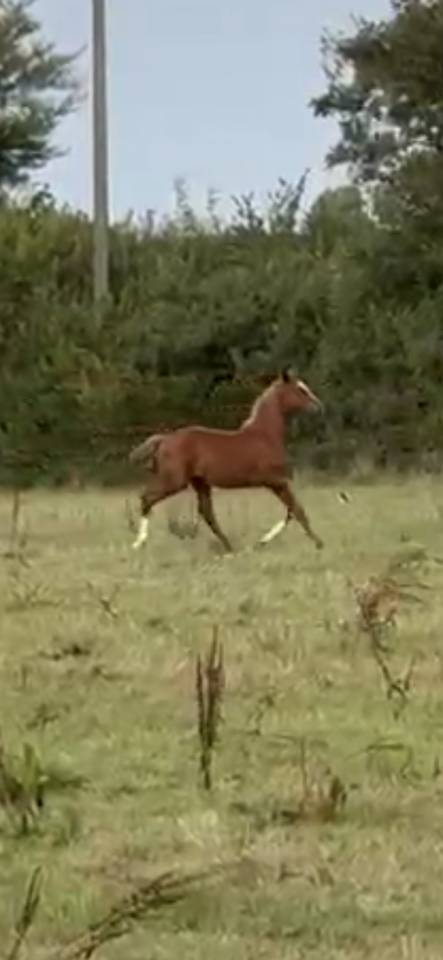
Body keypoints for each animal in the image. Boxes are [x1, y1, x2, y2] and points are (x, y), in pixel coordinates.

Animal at [129, 368, 324, 553]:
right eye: (300, 389)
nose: (318, 406)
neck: (265, 436)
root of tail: (164, 439)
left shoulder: (277, 482)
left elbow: (292, 511)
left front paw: (261, 542)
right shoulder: (275, 481)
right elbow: (297, 510)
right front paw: (318, 543)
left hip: (200, 483)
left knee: (207, 513)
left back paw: (229, 548)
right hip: (175, 481)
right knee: (147, 498)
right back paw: (139, 543)